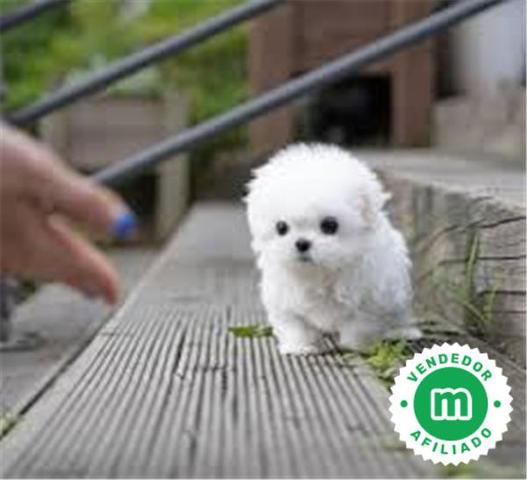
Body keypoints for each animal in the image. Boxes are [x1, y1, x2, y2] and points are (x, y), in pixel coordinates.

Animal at [245, 143, 421, 355]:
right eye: (281, 227)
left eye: (330, 225)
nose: (302, 243)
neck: (322, 272)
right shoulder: (285, 300)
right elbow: (295, 326)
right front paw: (300, 347)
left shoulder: (370, 298)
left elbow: (360, 325)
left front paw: (356, 346)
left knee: (399, 315)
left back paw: (402, 331)